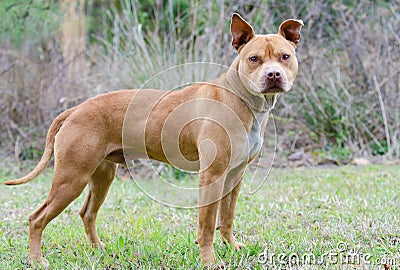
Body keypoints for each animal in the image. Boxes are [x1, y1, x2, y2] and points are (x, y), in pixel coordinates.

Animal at [3, 13, 304, 266]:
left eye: (285, 56)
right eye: (254, 59)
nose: (273, 75)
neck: (241, 98)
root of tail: (75, 109)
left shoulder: (234, 176)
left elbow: (226, 217)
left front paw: (231, 247)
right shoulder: (212, 176)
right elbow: (207, 224)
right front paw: (209, 260)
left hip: (101, 176)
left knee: (87, 213)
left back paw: (99, 250)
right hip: (71, 178)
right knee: (37, 218)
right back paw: (37, 260)